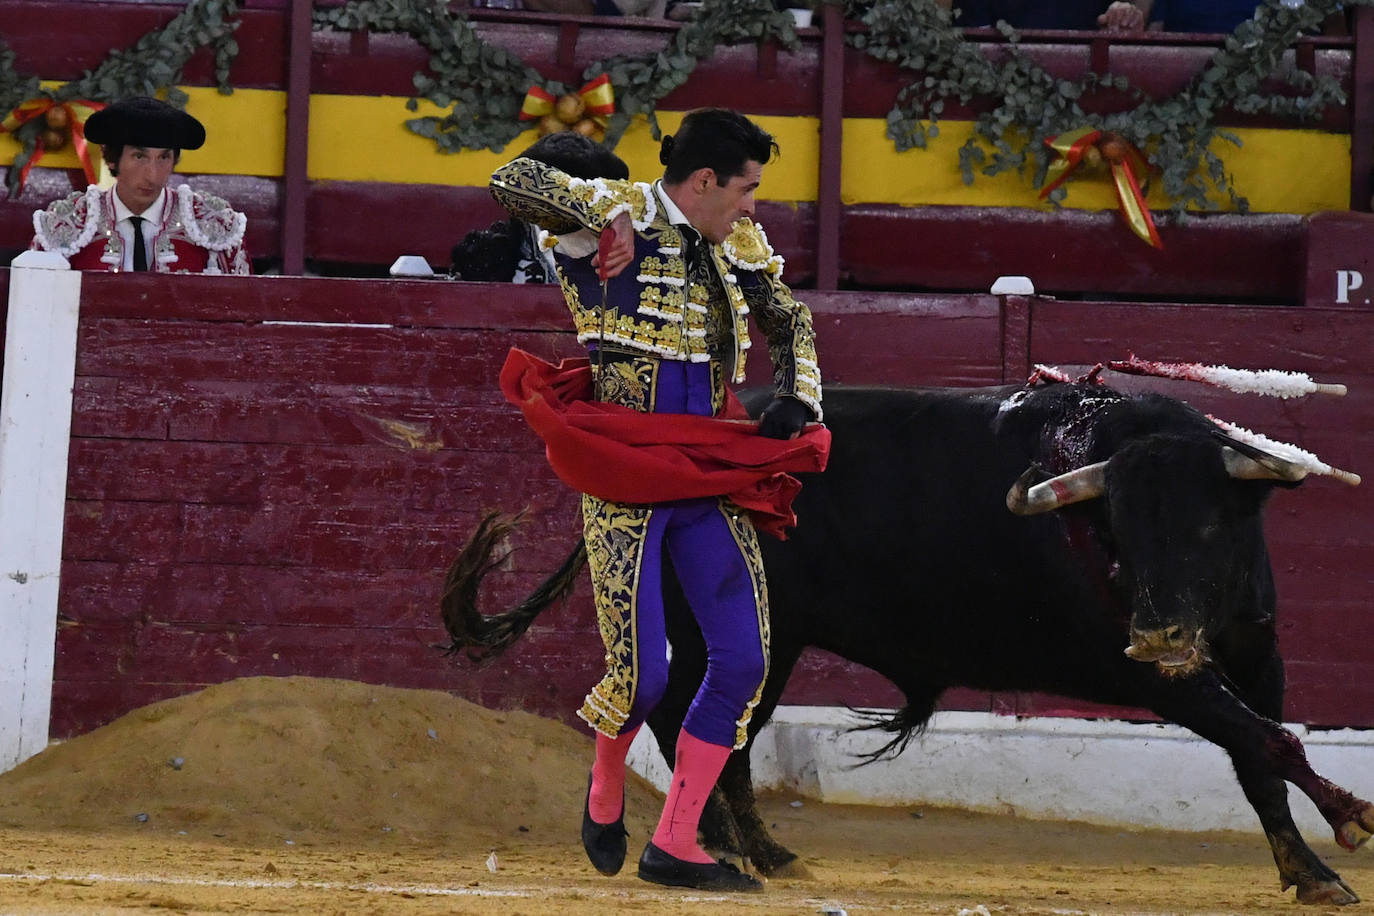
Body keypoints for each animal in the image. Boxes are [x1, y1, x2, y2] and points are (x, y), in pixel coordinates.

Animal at [442, 379, 1374, 900]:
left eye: (1211, 525)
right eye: (1117, 527)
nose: (1159, 632)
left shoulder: (1257, 655)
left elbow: (1262, 756)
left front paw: (1309, 871)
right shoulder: (1157, 677)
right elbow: (1267, 742)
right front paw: (1349, 824)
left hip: (764, 641)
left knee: (710, 726)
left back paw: (743, 846)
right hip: (745, 634)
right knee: (695, 723)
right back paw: (740, 849)